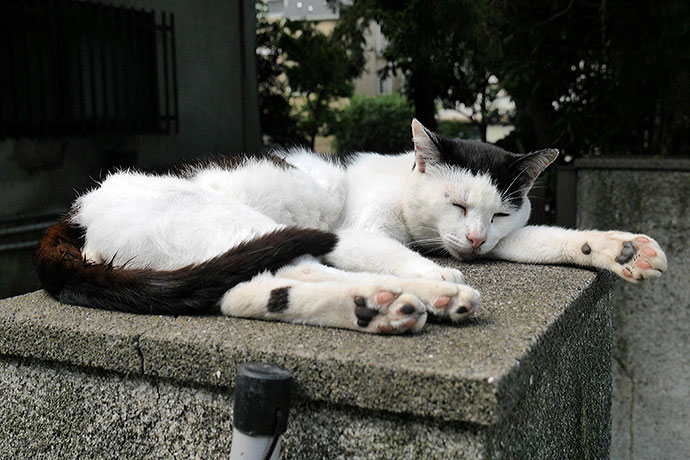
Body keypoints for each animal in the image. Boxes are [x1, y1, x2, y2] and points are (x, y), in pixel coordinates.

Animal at [35, 118, 664, 334]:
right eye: (458, 205)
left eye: (502, 213)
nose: (477, 240)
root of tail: (74, 213)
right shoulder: (364, 233)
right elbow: (403, 252)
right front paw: (439, 275)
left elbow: (551, 238)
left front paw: (620, 249)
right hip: (239, 222)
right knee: (273, 278)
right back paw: (427, 295)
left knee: (250, 291)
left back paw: (377, 307)